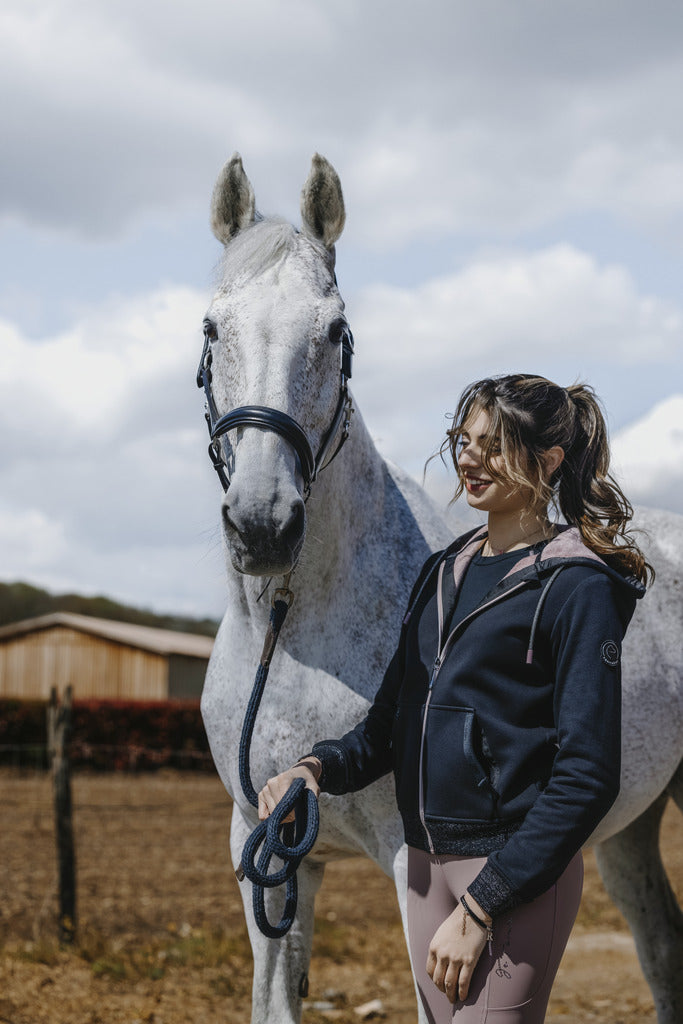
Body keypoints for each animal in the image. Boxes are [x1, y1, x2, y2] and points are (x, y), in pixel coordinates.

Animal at [200, 153, 683, 1024]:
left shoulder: (409, 861)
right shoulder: (271, 847)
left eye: (335, 330)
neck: (286, 633)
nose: (263, 523)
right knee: (662, 948)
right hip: (629, 828)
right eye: (211, 328)